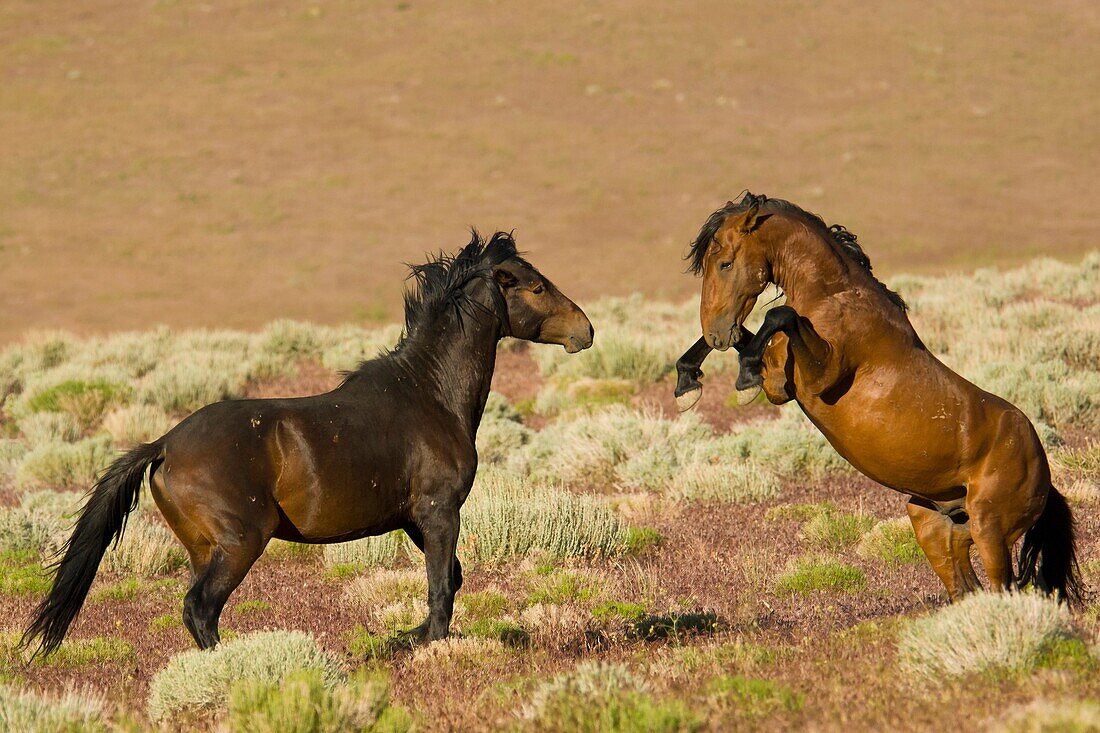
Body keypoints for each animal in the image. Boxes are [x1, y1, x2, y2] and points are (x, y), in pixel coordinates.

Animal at [23, 231, 594, 651]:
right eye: (536, 286)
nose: (585, 330)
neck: (429, 393)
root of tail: (163, 444)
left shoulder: (415, 519)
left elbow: (450, 579)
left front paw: (403, 639)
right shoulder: (439, 511)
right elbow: (440, 590)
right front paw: (427, 644)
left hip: (204, 547)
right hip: (240, 542)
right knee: (201, 609)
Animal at [677, 191, 1082, 603]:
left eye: (725, 263)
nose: (715, 331)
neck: (835, 296)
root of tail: (1044, 473)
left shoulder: (816, 377)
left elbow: (779, 316)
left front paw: (740, 379)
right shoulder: (778, 380)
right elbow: (751, 335)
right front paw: (687, 383)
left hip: (991, 530)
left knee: (1002, 587)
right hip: (933, 524)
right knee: (965, 584)